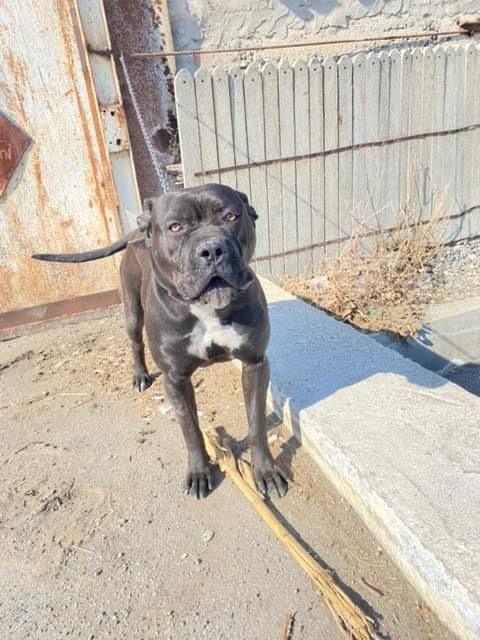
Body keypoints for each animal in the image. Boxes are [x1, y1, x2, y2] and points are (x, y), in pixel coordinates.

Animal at [34, 185, 288, 500]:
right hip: (132, 312)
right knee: (135, 343)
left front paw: (265, 470)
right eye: (175, 227)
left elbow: (256, 423)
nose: (212, 249)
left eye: (231, 216)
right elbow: (189, 427)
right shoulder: (174, 378)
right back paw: (140, 375)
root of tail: (137, 231)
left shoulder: (254, 363)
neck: (206, 309)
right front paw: (199, 471)